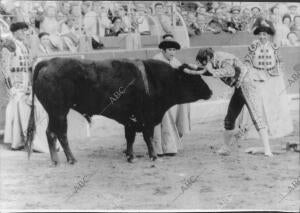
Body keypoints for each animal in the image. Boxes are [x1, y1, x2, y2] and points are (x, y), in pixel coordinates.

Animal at [26, 57, 213, 165]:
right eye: (193, 79)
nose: (210, 92)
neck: (156, 79)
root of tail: (48, 62)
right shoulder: (146, 118)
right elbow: (147, 137)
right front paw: (153, 156)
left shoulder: (130, 120)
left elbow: (130, 138)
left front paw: (130, 156)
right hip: (58, 111)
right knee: (57, 133)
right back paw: (66, 160)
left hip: (55, 113)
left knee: (54, 133)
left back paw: (62, 159)